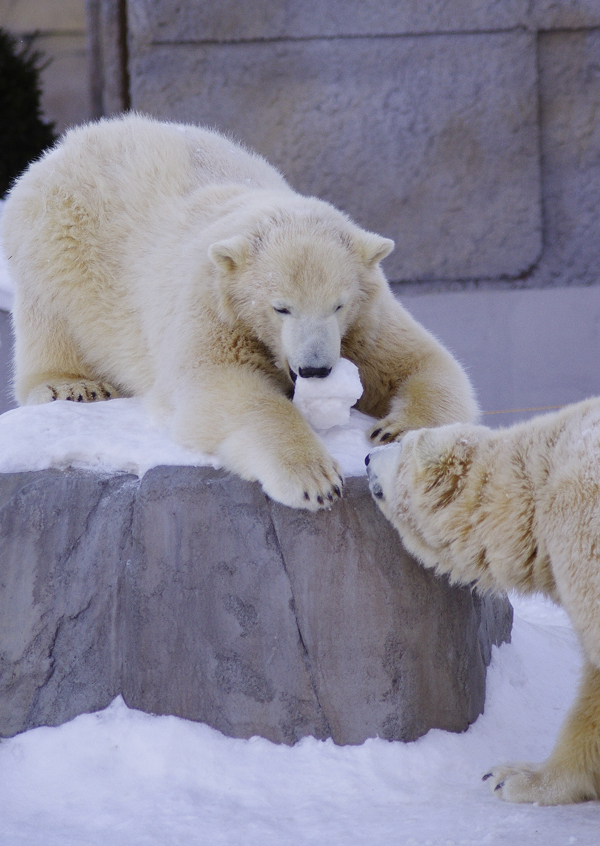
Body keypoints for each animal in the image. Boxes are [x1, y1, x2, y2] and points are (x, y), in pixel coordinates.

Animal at [1, 112, 478, 510]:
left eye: (338, 304)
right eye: (281, 307)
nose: (316, 369)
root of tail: (65, 145)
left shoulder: (363, 323)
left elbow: (422, 361)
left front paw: (396, 430)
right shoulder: (211, 306)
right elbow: (223, 388)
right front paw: (315, 480)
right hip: (60, 246)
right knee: (51, 320)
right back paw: (72, 386)